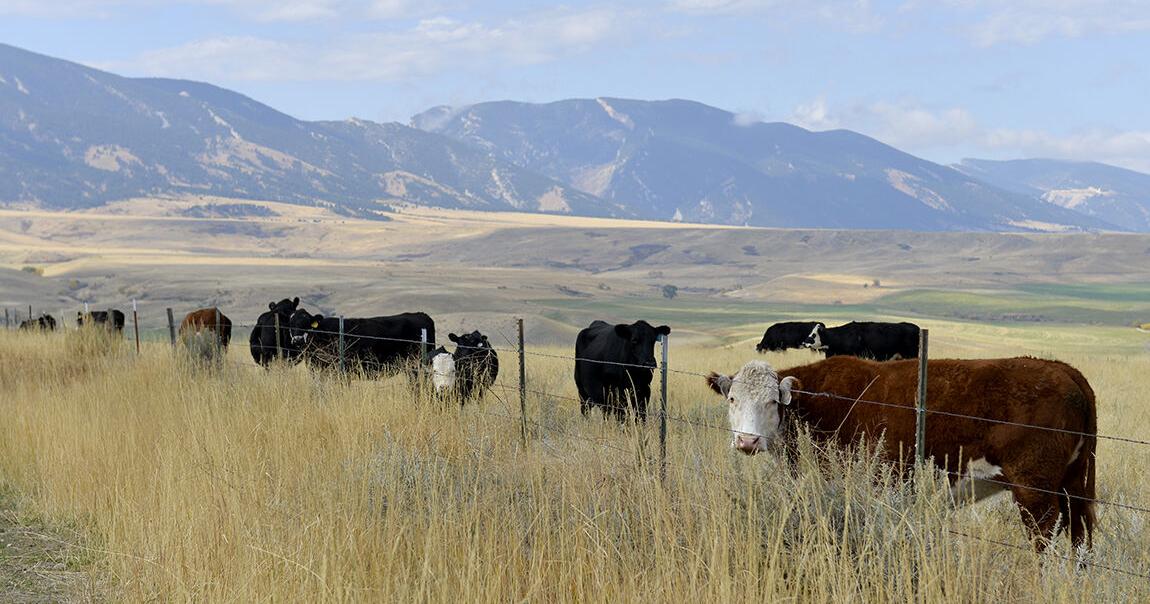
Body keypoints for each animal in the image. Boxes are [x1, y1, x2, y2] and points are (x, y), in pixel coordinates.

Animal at [706, 356, 1097, 552]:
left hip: (1034, 488)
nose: (747, 442)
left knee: (1044, 534)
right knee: (1081, 532)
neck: (819, 401)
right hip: (1076, 482)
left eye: (772, 402)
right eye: (732, 399)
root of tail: (1064, 369)